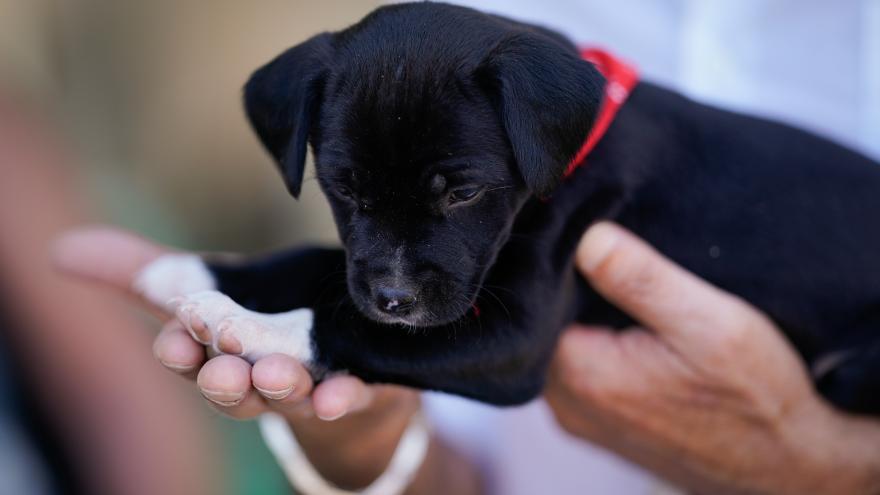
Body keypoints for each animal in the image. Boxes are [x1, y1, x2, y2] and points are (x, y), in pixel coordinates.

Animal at [139, 2, 880, 414]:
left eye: (464, 192)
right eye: (345, 190)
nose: (395, 299)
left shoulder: (511, 338)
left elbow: (345, 324)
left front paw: (243, 324)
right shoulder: (372, 265)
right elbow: (317, 264)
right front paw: (191, 272)